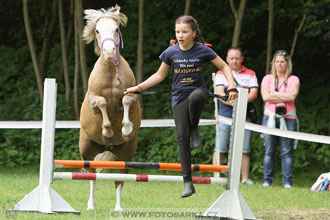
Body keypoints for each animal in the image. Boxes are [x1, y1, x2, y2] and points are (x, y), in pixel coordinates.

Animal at [80, 5, 142, 211]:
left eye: (116, 29)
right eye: (98, 31)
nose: (108, 52)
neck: (110, 71)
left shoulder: (131, 97)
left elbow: (126, 103)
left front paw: (126, 128)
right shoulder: (93, 100)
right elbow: (102, 103)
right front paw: (107, 130)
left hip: (126, 153)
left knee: (119, 179)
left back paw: (119, 208)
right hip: (87, 150)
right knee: (90, 175)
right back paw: (90, 205)